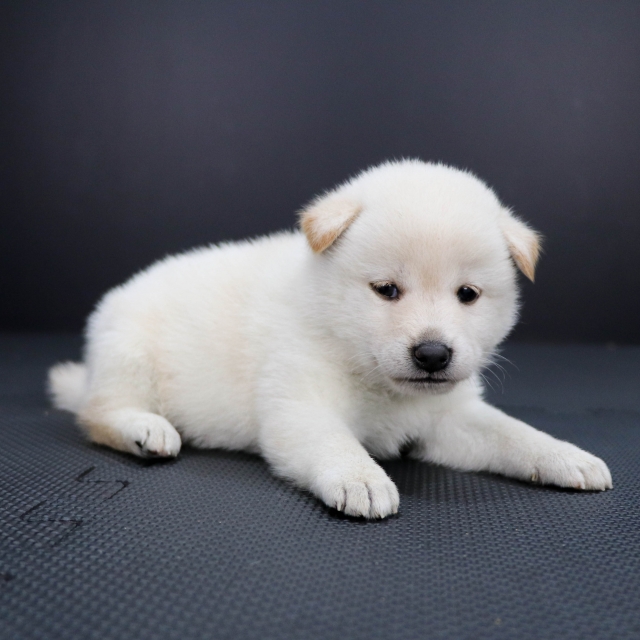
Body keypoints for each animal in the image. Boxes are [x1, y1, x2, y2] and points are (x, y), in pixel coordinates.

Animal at [49, 159, 612, 519]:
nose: (432, 354)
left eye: (468, 294)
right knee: (97, 413)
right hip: (130, 353)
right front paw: (361, 478)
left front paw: (565, 455)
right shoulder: (299, 404)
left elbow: (511, 434)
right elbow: (332, 440)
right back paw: (145, 429)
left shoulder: (450, 418)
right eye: (387, 290)